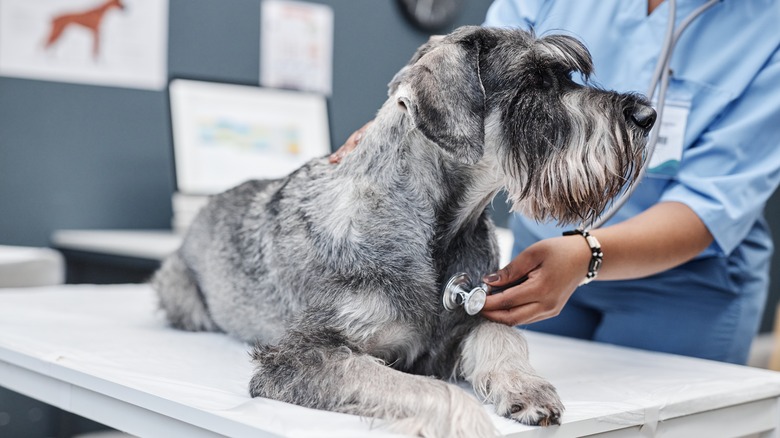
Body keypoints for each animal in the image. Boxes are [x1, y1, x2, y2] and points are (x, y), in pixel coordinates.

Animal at [151, 26, 652, 438]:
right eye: (535, 81)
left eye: (564, 76)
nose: (647, 115)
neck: (440, 232)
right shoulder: (303, 356)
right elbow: (421, 388)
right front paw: (469, 421)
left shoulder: (466, 321)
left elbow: (501, 336)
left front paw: (525, 386)